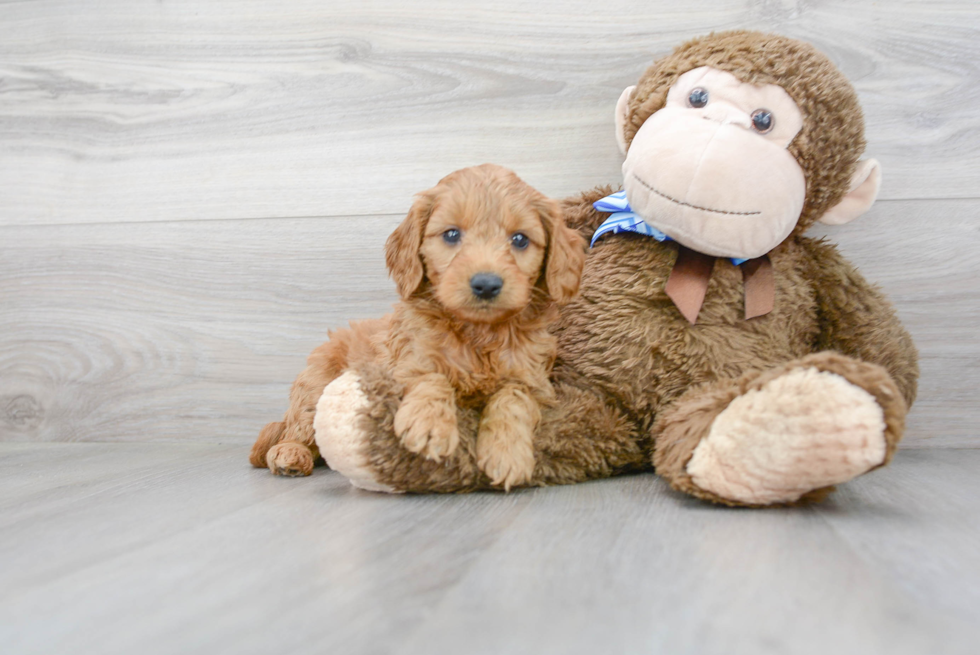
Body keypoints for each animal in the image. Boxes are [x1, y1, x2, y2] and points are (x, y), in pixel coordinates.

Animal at [253, 167, 584, 490]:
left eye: (520, 240)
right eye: (451, 234)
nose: (486, 284)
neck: (478, 332)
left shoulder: (534, 381)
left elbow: (514, 398)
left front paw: (507, 452)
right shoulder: (403, 363)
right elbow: (430, 376)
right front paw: (429, 425)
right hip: (314, 387)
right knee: (298, 429)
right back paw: (289, 454)